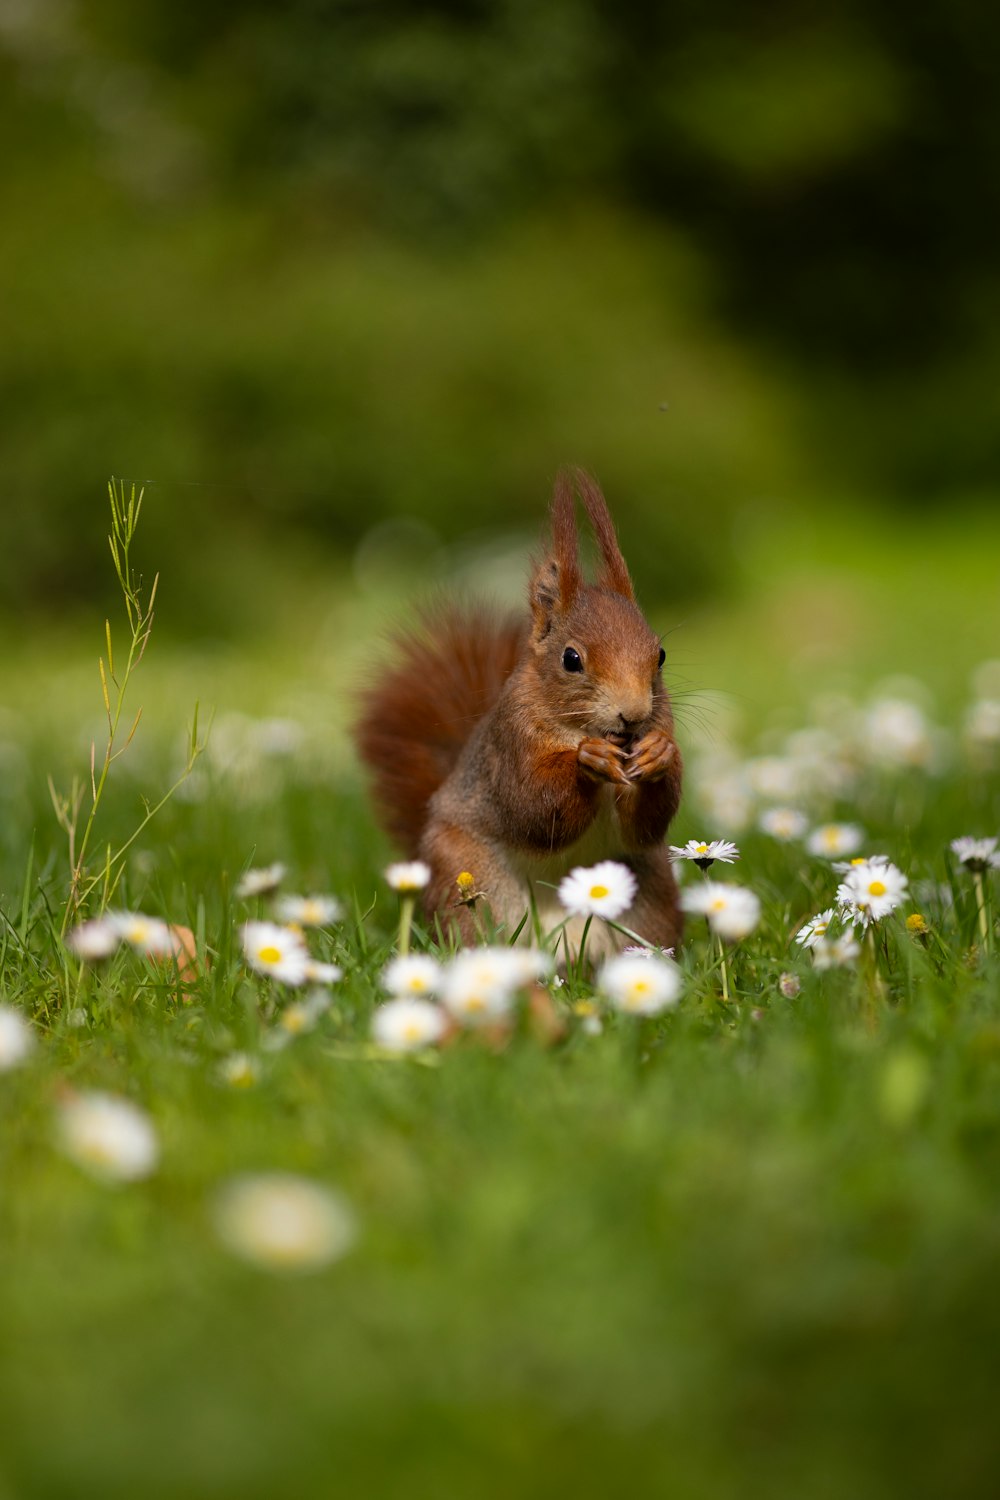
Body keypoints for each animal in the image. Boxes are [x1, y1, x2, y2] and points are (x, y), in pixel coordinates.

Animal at [353, 471, 689, 960]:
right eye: (571, 659)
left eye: (660, 655)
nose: (633, 715)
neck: (580, 727)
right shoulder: (510, 743)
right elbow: (531, 807)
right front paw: (588, 761)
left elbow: (646, 824)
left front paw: (659, 753)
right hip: (469, 881)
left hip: (648, 895)